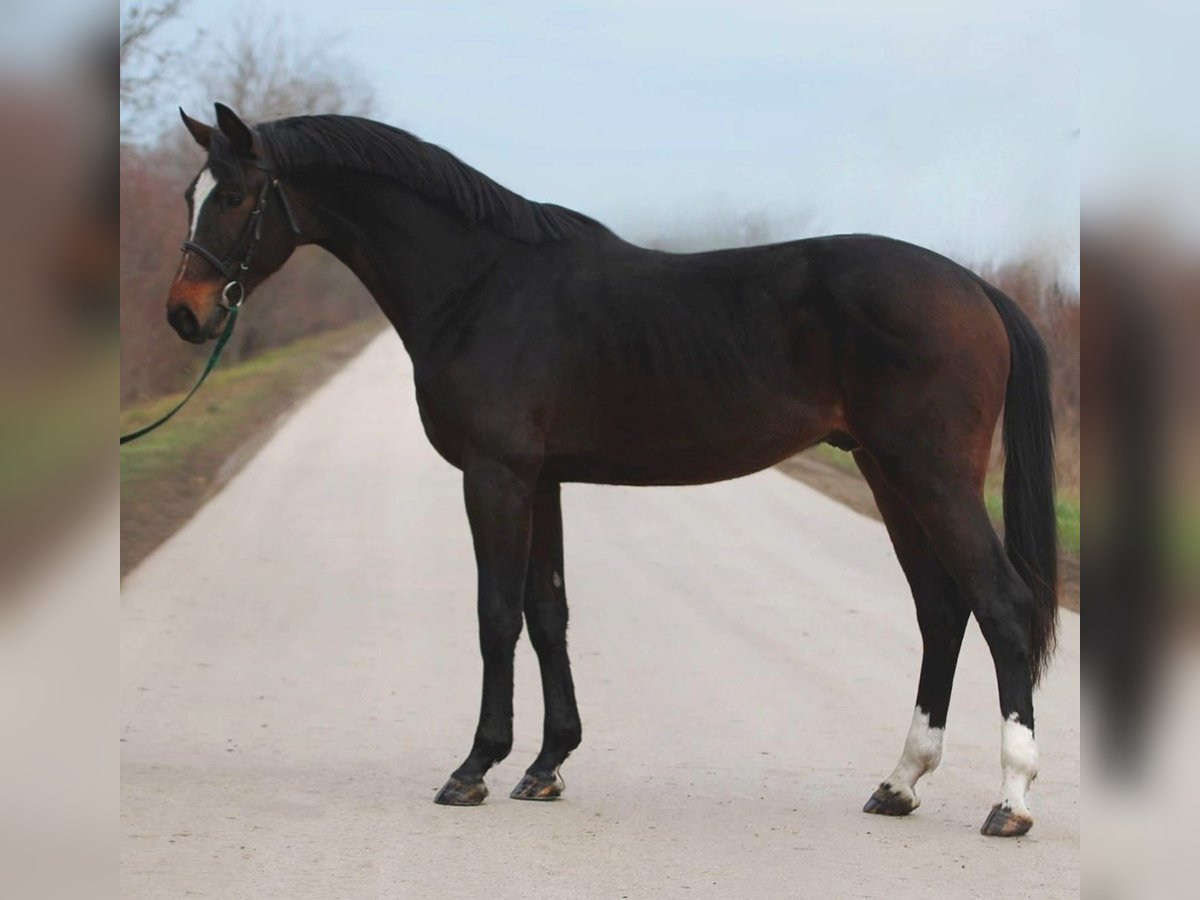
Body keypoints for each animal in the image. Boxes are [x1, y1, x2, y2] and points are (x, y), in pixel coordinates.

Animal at [164, 103, 1056, 840]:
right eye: (188, 194)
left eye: (236, 197)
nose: (185, 313)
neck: (482, 284)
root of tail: (975, 288)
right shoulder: (541, 479)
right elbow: (548, 612)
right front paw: (546, 766)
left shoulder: (495, 476)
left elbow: (496, 615)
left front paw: (474, 767)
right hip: (887, 472)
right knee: (941, 610)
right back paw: (900, 783)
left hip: (931, 476)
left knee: (1001, 606)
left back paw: (1010, 802)